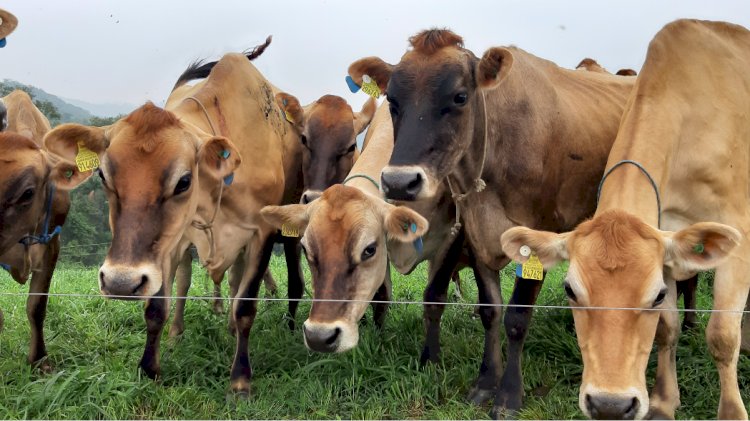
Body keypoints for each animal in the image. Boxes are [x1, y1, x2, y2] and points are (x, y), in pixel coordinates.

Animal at [43, 41, 306, 396]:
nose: (119, 283)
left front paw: (240, 379)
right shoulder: (168, 245)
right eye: (102, 175)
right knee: (185, 283)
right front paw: (149, 368)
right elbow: (157, 306)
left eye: (183, 181)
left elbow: (245, 306)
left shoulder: (261, 234)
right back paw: (176, 334)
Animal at [346, 30, 636, 416]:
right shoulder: (475, 234)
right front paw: (486, 382)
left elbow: (516, 318)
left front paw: (510, 394)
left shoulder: (534, 237)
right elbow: (490, 311)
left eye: (460, 96)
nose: (398, 182)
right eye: (392, 99)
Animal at [502, 20, 750, 420]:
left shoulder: (739, 237)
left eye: (656, 294)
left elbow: (722, 336)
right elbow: (667, 329)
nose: (610, 405)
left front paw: (732, 412)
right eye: (570, 290)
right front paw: (664, 400)